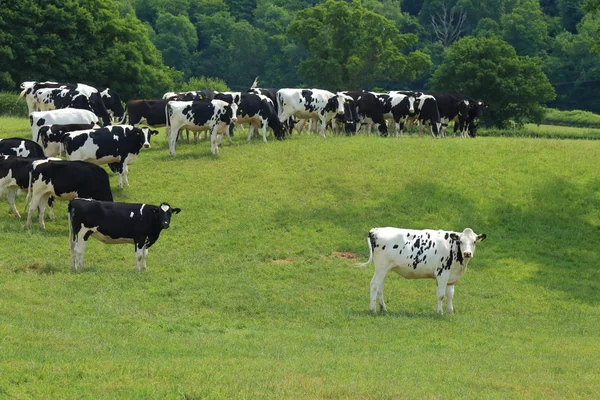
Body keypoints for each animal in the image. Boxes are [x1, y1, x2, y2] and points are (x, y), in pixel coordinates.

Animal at [358, 227, 486, 314]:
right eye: (460, 241)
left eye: (474, 241)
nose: (467, 253)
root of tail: (375, 230)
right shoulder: (442, 273)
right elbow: (441, 295)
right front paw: (439, 312)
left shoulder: (451, 276)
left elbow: (450, 294)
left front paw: (450, 312)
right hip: (381, 267)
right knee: (374, 284)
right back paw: (373, 309)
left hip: (384, 269)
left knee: (380, 287)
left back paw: (383, 309)